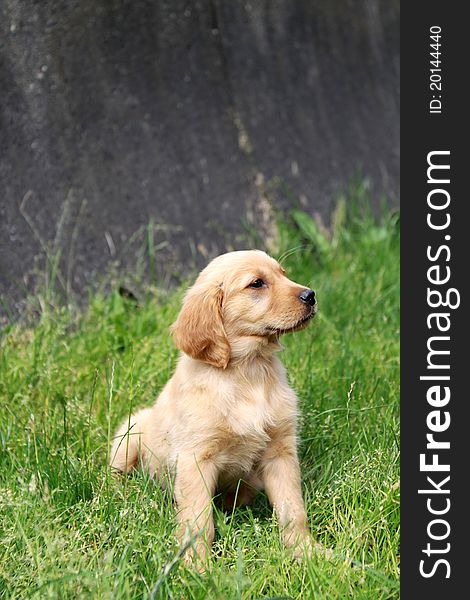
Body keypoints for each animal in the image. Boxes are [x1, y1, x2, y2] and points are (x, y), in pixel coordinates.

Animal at [109, 247, 316, 564]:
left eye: (283, 273)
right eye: (257, 283)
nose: (311, 295)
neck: (248, 372)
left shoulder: (280, 451)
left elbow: (293, 510)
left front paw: (308, 552)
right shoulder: (196, 458)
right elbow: (199, 520)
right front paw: (197, 566)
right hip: (130, 432)